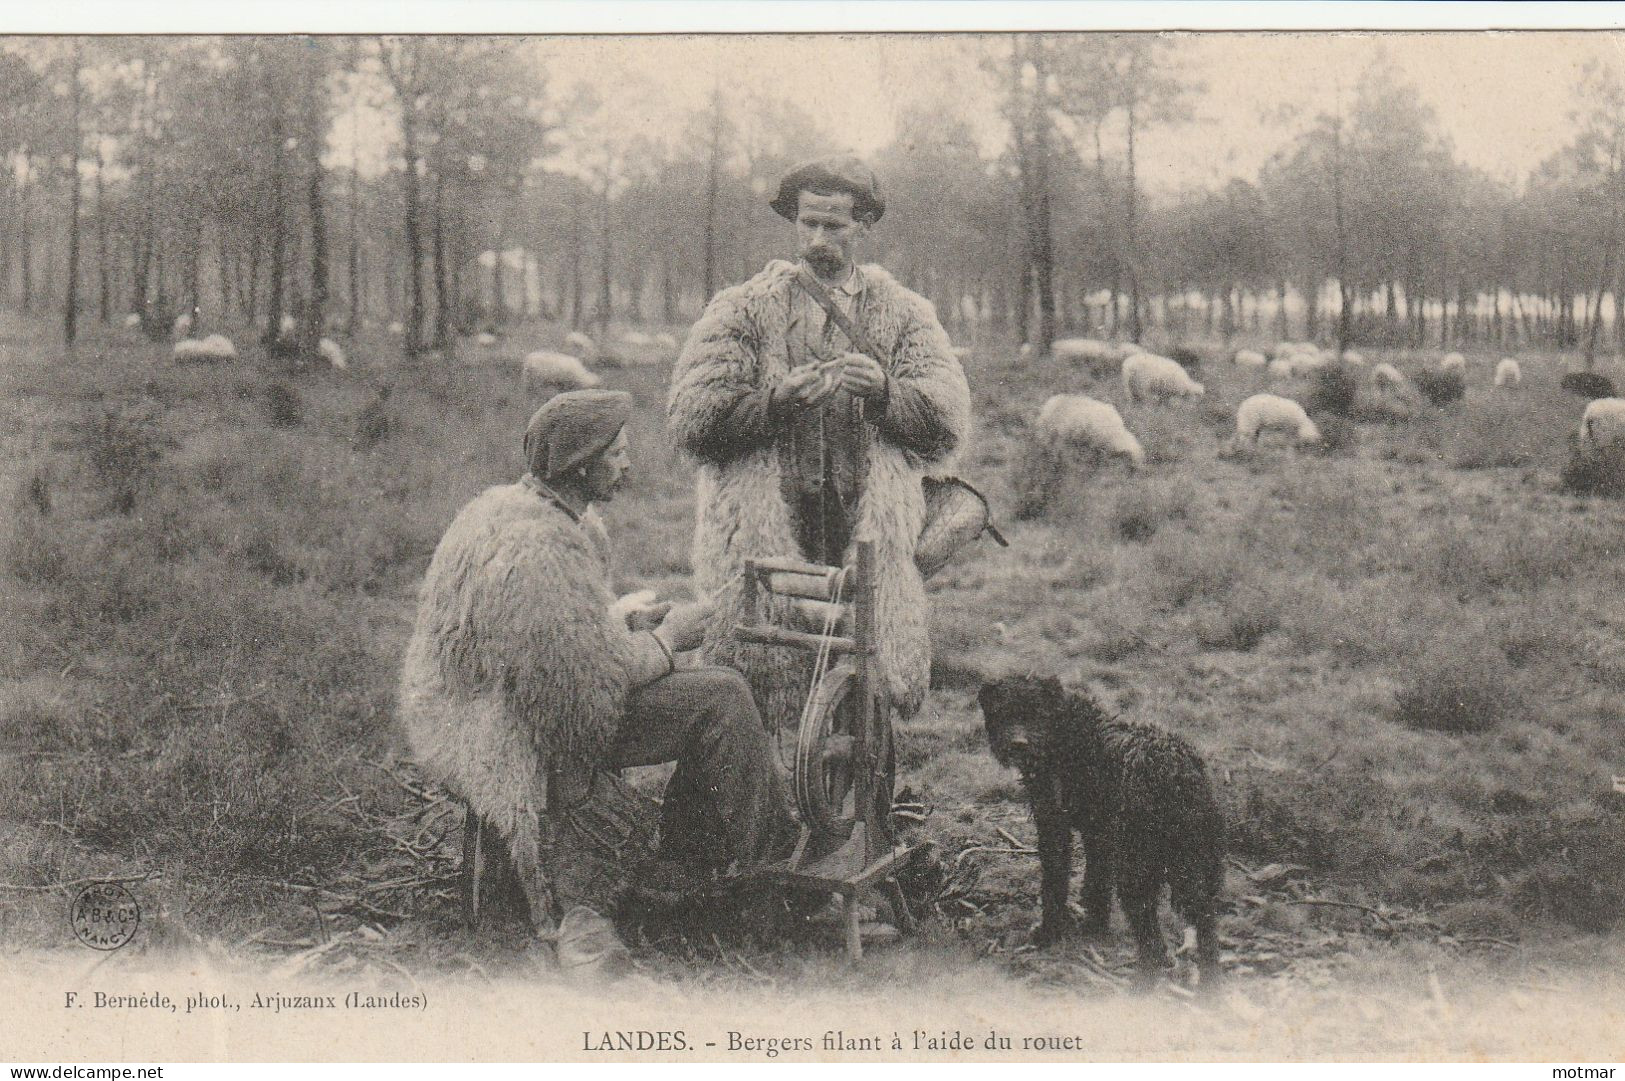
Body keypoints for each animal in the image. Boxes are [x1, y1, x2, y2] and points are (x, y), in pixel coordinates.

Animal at [968, 676, 1222, 988]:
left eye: (1036, 713)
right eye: (1004, 712)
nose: (1018, 745)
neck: (1065, 729)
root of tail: (1178, 770)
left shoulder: (1055, 825)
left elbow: (1055, 882)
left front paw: (1050, 932)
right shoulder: (1097, 834)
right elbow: (1096, 880)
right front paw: (1095, 925)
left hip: (1137, 867)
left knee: (1151, 937)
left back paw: (1142, 982)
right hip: (1193, 863)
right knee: (1205, 924)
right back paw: (1209, 984)